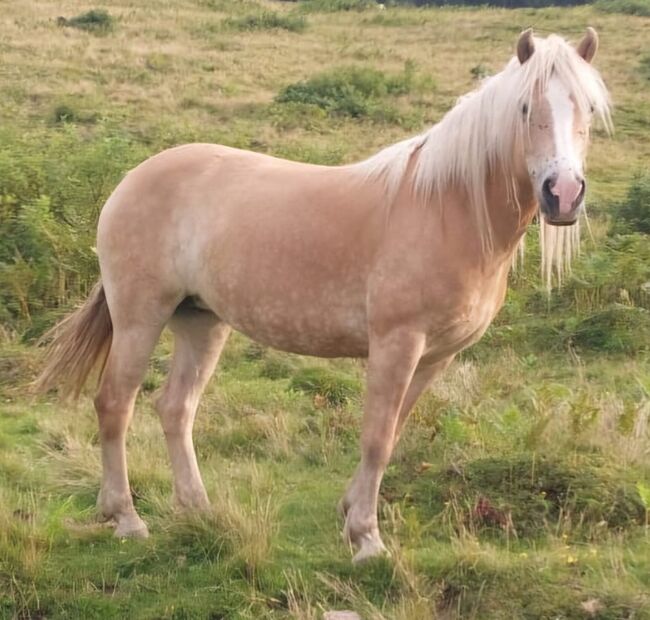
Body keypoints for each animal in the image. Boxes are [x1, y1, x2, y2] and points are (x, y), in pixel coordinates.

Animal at [38, 27, 608, 560]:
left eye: (588, 108)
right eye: (526, 107)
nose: (563, 194)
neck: (448, 209)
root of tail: (131, 178)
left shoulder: (436, 356)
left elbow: (393, 433)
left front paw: (350, 512)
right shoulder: (397, 344)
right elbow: (376, 438)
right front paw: (367, 539)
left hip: (201, 321)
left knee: (176, 408)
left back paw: (198, 509)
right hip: (140, 316)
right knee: (115, 403)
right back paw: (126, 518)